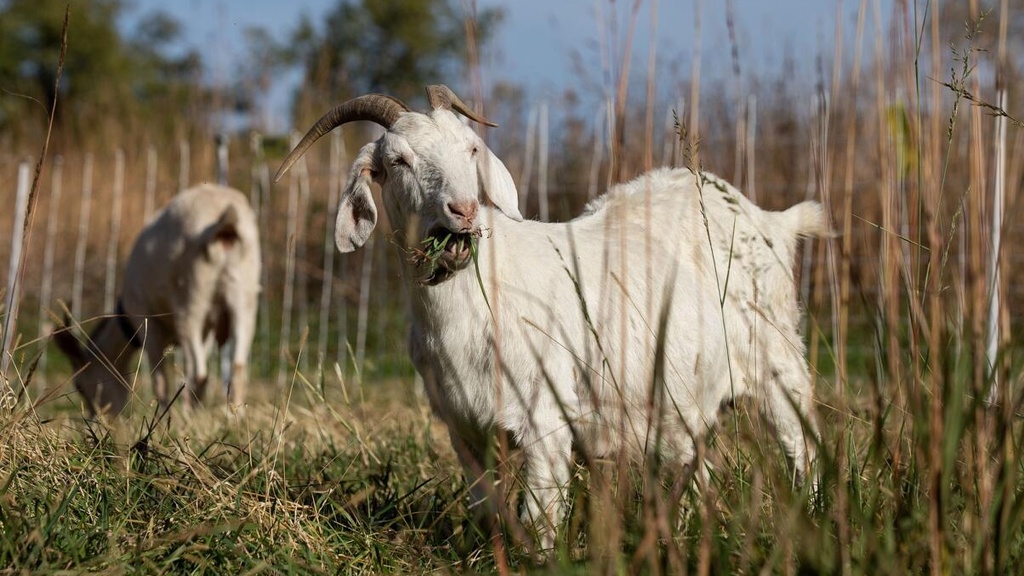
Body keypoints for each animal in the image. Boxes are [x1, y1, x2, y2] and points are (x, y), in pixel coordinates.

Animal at [53, 183, 261, 417]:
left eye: (80, 385)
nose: (98, 418)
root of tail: (222, 222)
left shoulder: (146, 321)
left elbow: (159, 377)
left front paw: (164, 417)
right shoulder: (208, 327)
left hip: (191, 301)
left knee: (199, 373)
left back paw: (191, 416)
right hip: (244, 295)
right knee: (237, 365)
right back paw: (233, 417)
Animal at [276, 85, 828, 549]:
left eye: (471, 149)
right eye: (399, 160)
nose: (464, 210)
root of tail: (769, 219)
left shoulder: (545, 421)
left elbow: (540, 517)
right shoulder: (465, 430)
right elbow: (490, 509)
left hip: (779, 365)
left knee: (802, 448)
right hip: (686, 404)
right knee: (697, 468)